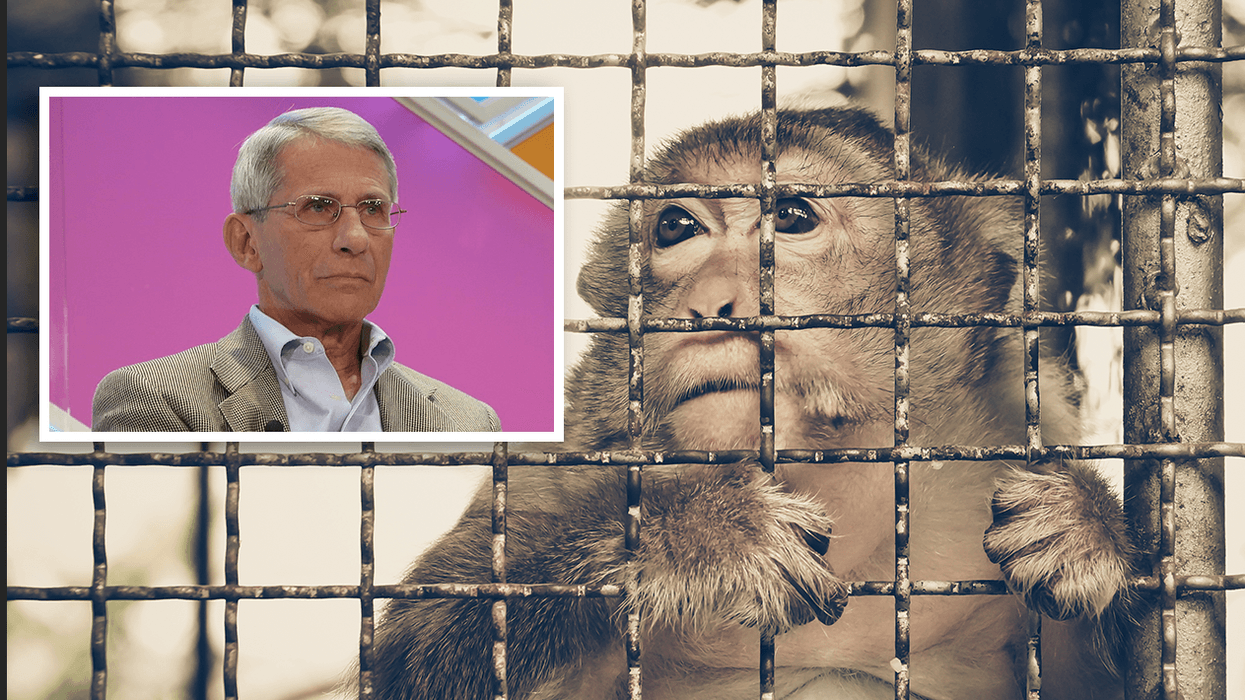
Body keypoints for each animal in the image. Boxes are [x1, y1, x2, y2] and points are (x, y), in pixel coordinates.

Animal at [366, 107, 1137, 699]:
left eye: (792, 217)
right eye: (676, 229)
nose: (709, 304)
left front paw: (1083, 523)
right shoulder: (564, 450)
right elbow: (418, 653)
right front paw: (703, 535)